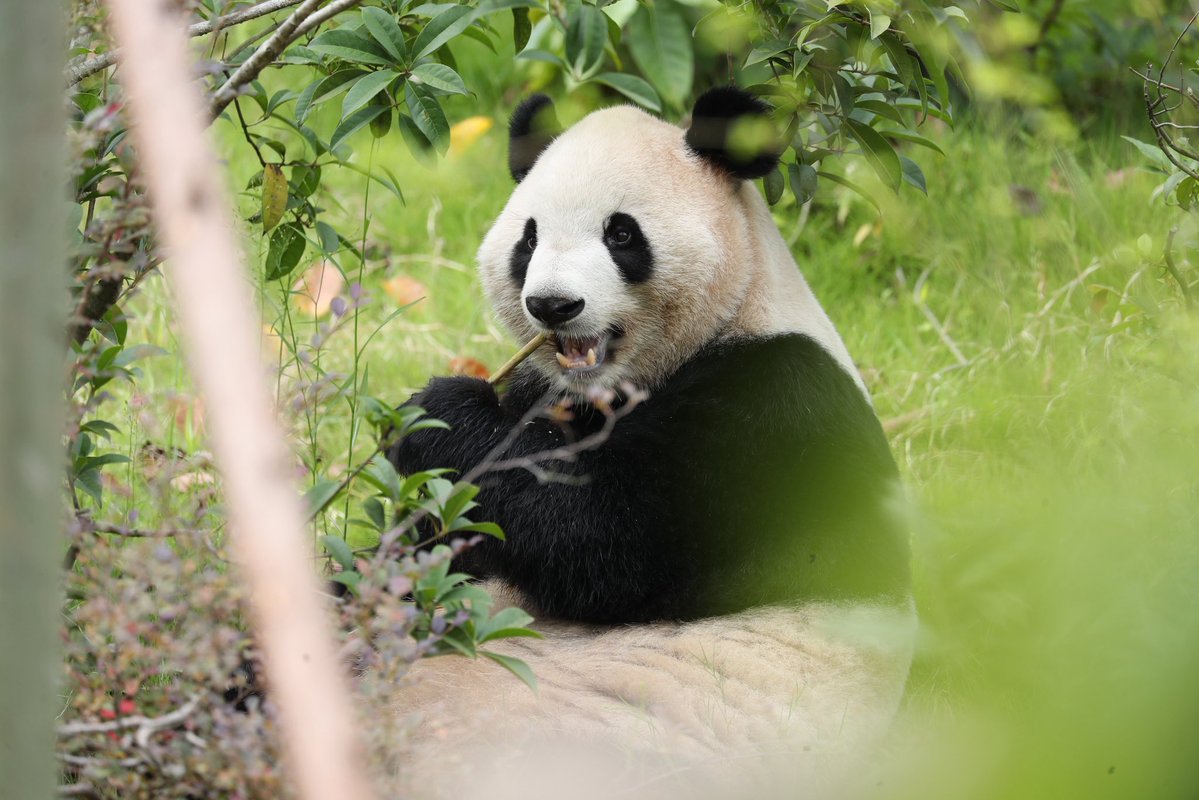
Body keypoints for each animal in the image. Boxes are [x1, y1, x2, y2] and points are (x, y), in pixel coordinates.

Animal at [383, 87, 916, 799]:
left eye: (622, 234)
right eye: (529, 237)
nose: (553, 305)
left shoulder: (780, 408)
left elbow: (603, 535)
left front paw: (439, 416)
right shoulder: (547, 389)